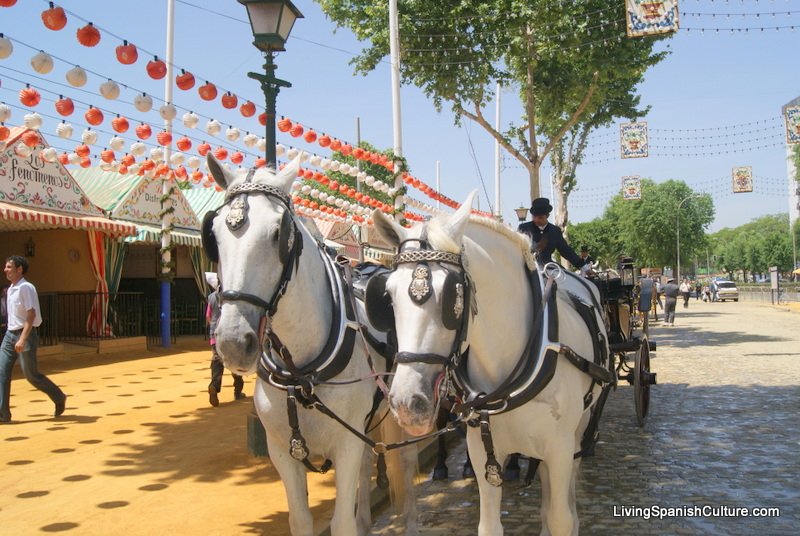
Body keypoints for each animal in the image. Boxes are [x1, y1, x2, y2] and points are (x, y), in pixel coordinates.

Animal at [205, 156, 418, 536]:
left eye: (279, 234)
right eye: (213, 235)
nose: (233, 342)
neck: (301, 372)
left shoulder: (345, 443)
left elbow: (340, 521)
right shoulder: (282, 449)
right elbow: (301, 519)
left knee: (405, 463)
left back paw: (408, 521)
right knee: (367, 464)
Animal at [372, 195, 608, 536]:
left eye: (452, 296)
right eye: (388, 294)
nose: (407, 402)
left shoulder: (560, 448)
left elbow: (561, 518)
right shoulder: (483, 450)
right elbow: (490, 525)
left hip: (579, 430)